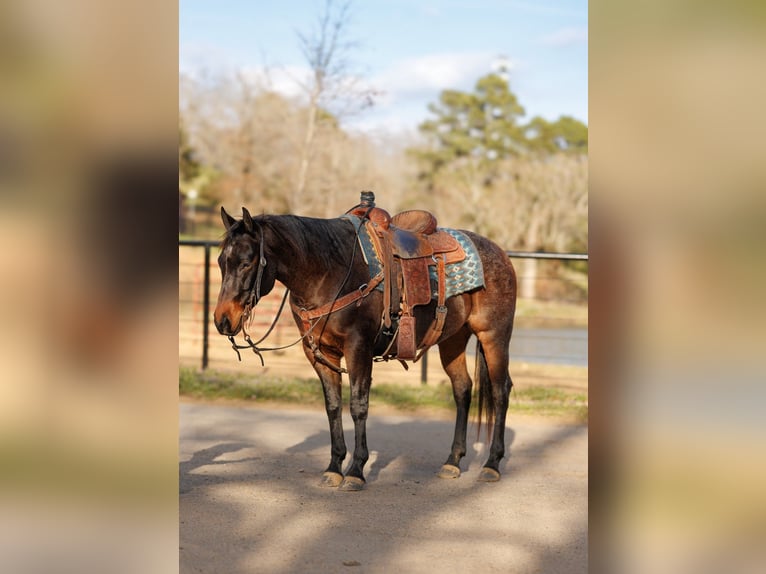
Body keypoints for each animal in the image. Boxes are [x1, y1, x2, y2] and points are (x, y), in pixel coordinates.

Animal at [213, 199, 517, 491]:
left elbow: (358, 406)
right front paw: (334, 467)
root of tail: (500, 253)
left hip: (494, 336)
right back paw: (452, 461)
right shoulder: (319, 353)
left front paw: (356, 471)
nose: (222, 320)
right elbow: (333, 406)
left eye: (246, 262)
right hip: (453, 340)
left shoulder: (358, 348)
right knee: (462, 389)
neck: (329, 272)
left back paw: (492, 464)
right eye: (220, 262)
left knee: (500, 390)